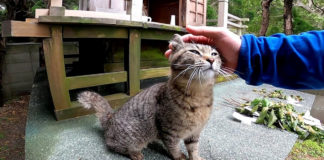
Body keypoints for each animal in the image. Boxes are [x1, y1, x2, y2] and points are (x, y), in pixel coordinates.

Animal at [79, 34, 223, 160]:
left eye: (214, 54)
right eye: (194, 51)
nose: (211, 60)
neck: (199, 93)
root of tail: (110, 118)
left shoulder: (195, 132)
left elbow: (193, 148)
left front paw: (195, 157)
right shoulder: (168, 131)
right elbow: (174, 147)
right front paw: (179, 156)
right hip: (134, 139)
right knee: (113, 145)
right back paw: (134, 154)